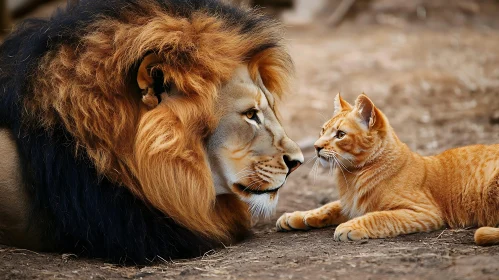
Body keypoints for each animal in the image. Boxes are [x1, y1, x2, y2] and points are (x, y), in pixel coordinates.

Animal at [278, 94, 499, 245]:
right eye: (323, 130)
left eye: (340, 134)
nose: (316, 147)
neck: (352, 176)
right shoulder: (353, 204)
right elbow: (330, 206)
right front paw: (297, 216)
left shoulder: (424, 211)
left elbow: (380, 216)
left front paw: (350, 226)